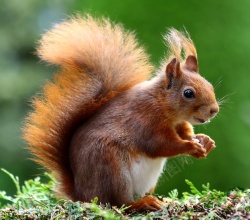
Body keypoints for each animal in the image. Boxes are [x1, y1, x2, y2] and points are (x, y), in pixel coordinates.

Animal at [23, 14, 219, 211]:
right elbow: (161, 145)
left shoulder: (178, 123)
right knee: (118, 203)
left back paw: (163, 200)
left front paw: (204, 141)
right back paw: (142, 203)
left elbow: (185, 132)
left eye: (209, 85)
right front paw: (191, 147)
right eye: (188, 93)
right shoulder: (145, 120)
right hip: (112, 169)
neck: (162, 105)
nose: (214, 110)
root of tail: (81, 194)